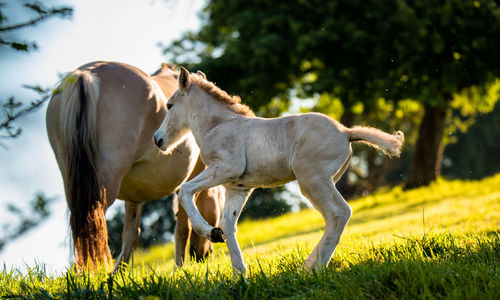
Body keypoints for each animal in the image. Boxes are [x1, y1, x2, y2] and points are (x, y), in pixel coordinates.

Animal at [46, 62, 223, 270]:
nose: (203, 255)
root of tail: (86, 74)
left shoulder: (134, 196)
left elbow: (131, 234)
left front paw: (118, 273)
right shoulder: (188, 182)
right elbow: (183, 227)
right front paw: (179, 267)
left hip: (73, 184)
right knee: (93, 224)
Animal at [154, 67, 404, 274]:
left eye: (169, 105)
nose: (158, 140)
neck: (218, 125)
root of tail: (346, 131)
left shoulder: (225, 168)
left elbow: (185, 191)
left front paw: (211, 233)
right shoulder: (237, 188)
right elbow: (228, 225)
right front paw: (240, 274)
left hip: (312, 180)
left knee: (339, 213)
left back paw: (315, 268)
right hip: (319, 183)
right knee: (331, 218)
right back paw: (306, 266)